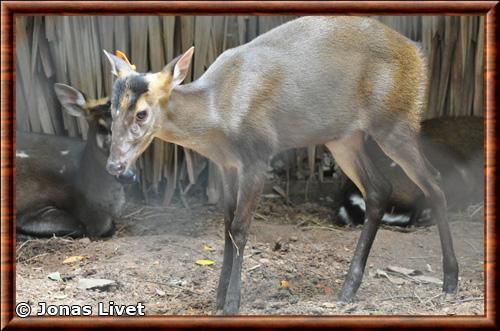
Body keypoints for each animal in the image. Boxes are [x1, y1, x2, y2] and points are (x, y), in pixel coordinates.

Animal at [103, 16, 458, 316]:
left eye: (142, 113)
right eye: (111, 109)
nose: (114, 165)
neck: (218, 111)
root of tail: (417, 53)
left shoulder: (257, 156)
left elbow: (240, 228)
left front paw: (232, 303)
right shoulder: (226, 165)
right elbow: (226, 226)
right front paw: (218, 298)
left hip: (395, 121)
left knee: (434, 181)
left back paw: (450, 280)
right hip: (344, 137)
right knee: (379, 189)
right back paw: (348, 288)